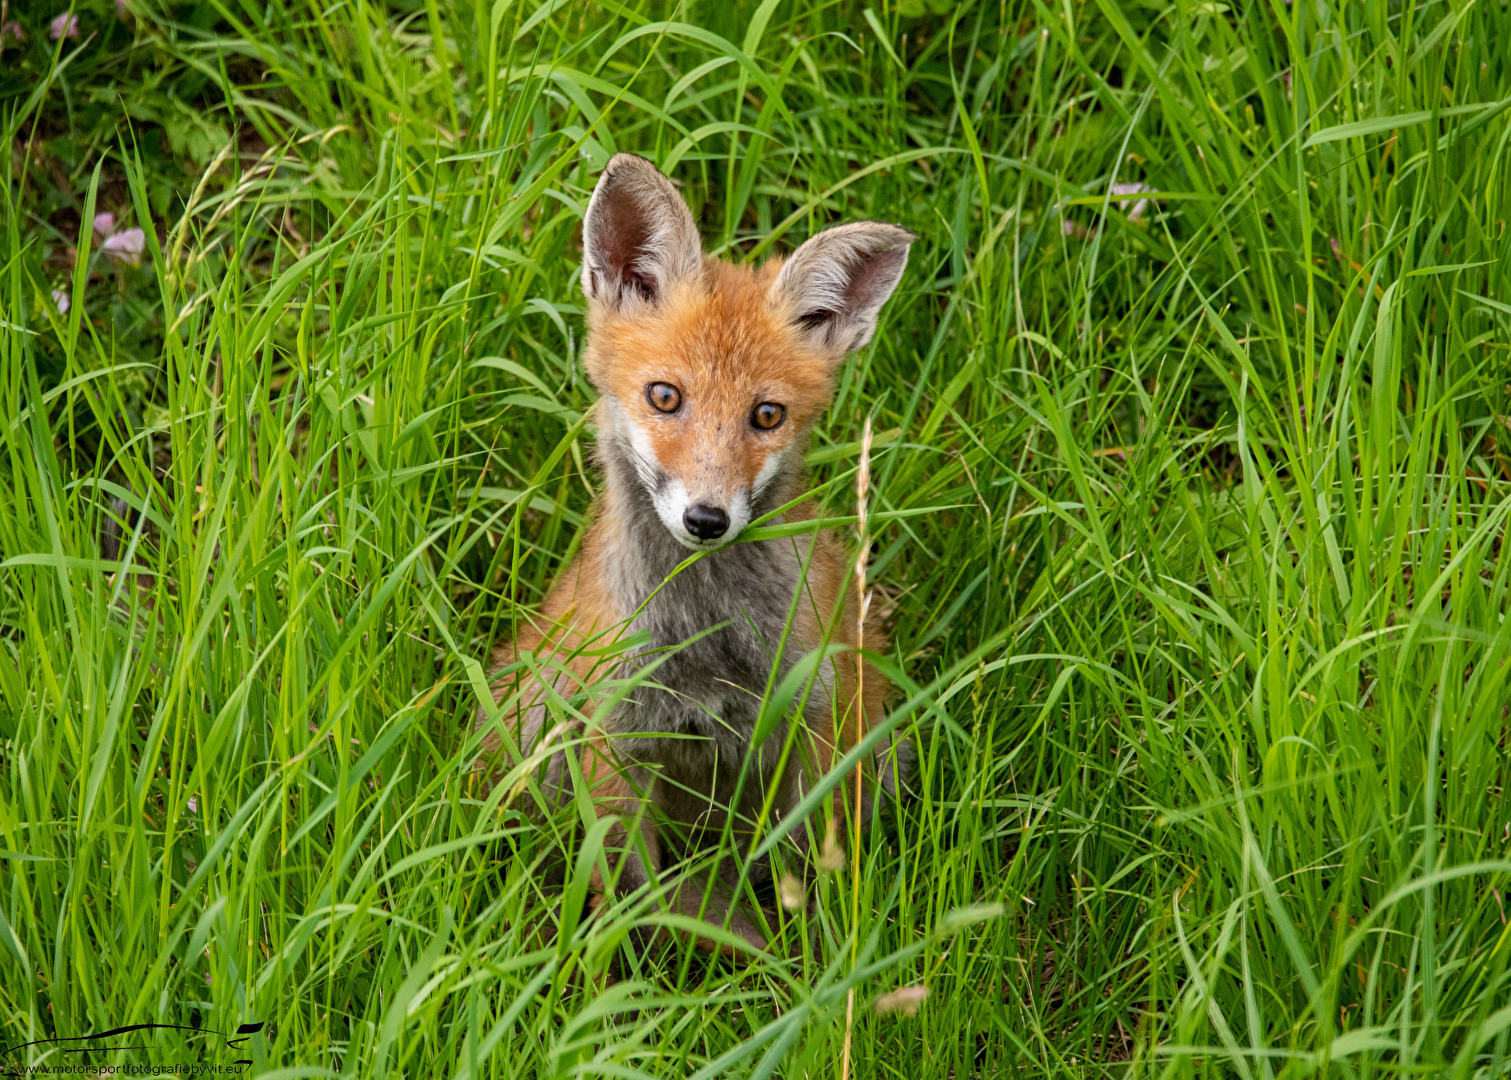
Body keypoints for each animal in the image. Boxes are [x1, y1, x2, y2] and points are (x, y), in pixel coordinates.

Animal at [479, 153, 915, 953]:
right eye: (664, 397)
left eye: (766, 415)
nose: (706, 519)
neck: (705, 638)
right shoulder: (615, 739)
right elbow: (630, 899)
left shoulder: (815, 727)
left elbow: (810, 881)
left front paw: (813, 972)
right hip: (530, 713)